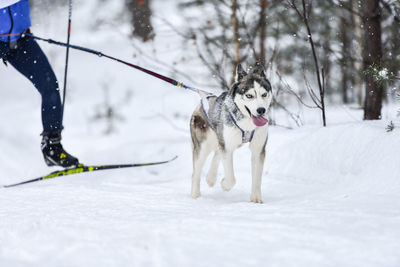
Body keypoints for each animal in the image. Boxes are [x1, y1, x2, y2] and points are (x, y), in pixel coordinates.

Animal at [190, 62, 272, 204]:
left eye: (264, 94)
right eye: (249, 95)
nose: (261, 110)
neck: (247, 124)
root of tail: (201, 104)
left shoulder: (258, 149)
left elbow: (257, 178)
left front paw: (256, 200)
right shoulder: (227, 147)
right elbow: (231, 179)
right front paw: (224, 185)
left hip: (220, 140)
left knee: (217, 152)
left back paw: (211, 178)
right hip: (203, 146)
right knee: (196, 172)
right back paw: (195, 196)